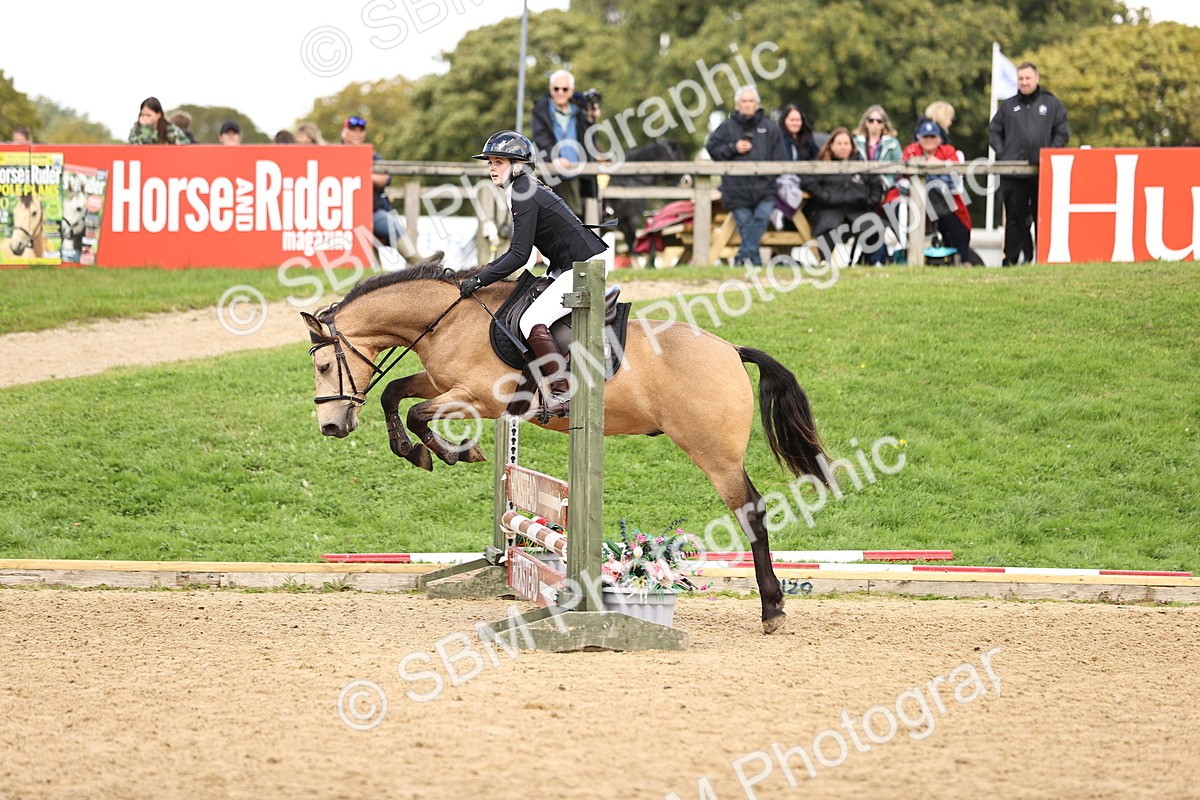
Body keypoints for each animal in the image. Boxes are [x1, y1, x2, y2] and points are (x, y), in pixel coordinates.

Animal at [301, 262, 828, 634]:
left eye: (325, 365)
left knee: (751, 510)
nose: (331, 426)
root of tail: (731, 351)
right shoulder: (440, 383)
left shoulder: (479, 398)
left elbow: (414, 413)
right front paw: (422, 452)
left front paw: (450, 452)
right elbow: (394, 395)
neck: (447, 320)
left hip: (714, 454)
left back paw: (772, 608)